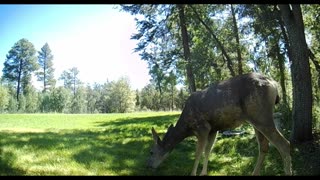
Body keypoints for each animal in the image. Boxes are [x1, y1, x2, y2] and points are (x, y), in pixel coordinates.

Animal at [146, 72, 292, 175]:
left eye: (151, 152)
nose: (149, 166)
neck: (187, 127)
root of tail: (274, 84)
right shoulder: (213, 129)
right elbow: (207, 151)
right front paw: (203, 173)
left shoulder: (203, 127)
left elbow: (198, 153)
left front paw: (194, 174)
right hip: (256, 120)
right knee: (264, 146)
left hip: (261, 116)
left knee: (284, 145)